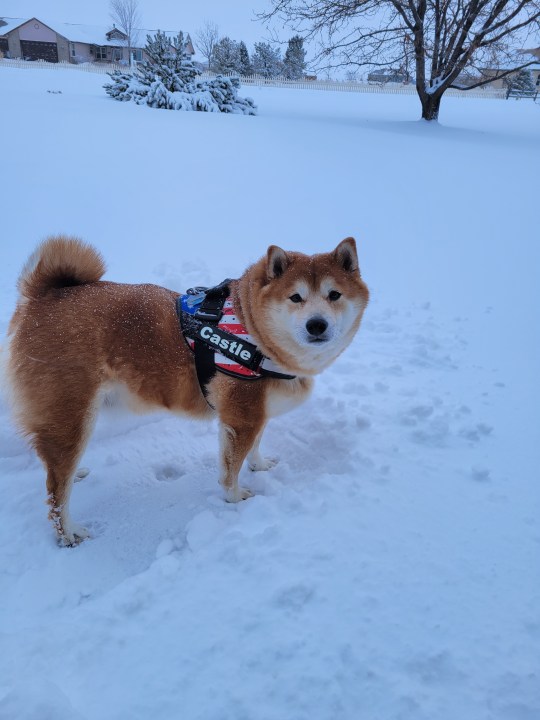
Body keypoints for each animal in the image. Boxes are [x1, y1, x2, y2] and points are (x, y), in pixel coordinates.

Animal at [5, 236, 368, 544]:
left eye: (334, 295)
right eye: (296, 297)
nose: (317, 324)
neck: (252, 330)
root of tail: (46, 296)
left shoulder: (255, 415)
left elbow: (253, 448)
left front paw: (259, 465)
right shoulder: (242, 417)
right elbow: (230, 470)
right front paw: (234, 497)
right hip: (72, 417)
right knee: (56, 490)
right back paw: (67, 532)